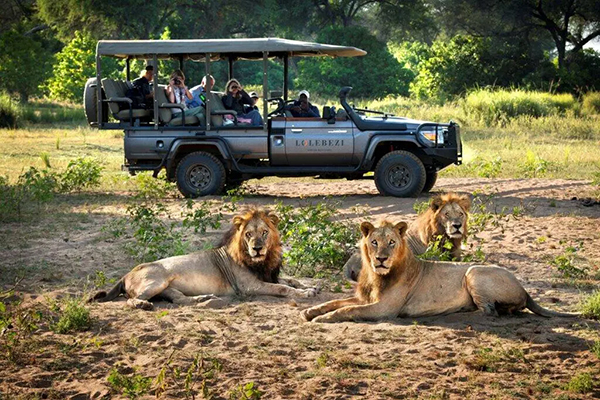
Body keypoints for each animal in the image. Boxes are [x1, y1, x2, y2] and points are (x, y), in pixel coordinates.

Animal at [91, 208, 316, 310]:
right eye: (248, 234)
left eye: (264, 232)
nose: (257, 248)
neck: (262, 261)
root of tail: (126, 274)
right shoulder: (250, 286)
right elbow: (282, 288)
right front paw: (304, 294)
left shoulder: (269, 275)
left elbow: (291, 279)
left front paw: (311, 287)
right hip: (157, 281)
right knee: (129, 300)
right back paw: (142, 305)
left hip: (166, 288)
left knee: (180, 299)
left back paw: (206, 299)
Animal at [302, 220, 580, 324]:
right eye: (374, 242)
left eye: (391, 242)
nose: (381, 259)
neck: (375, 275)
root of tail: (524, 287)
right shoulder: (366, 298)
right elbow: (336, 301)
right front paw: (311, 311)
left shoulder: (384, 309)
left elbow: (348, 310)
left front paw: (323, 319)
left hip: (473, 272)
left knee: (489, 312)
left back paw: (459, 312)